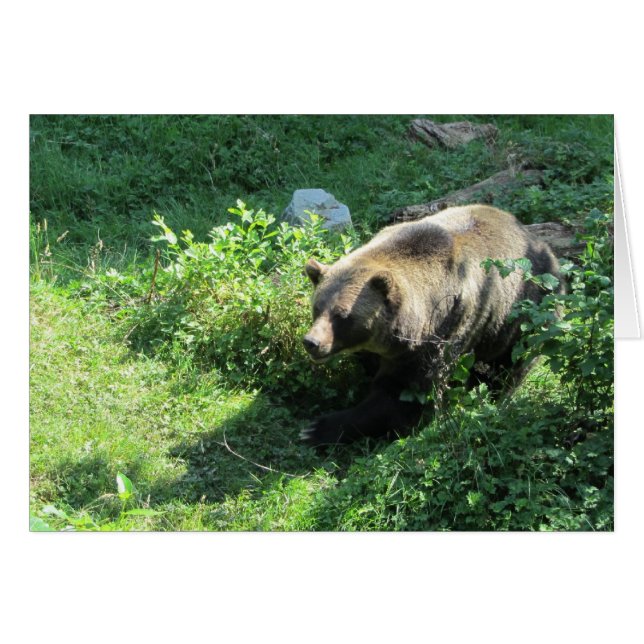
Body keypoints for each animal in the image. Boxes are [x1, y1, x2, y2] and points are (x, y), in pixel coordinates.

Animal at [299, 204, 563, 447]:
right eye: (317, 308)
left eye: (342, 316)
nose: (312, 342)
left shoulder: (441, 331)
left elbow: (405, 395)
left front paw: (316, 428)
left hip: (524, 316)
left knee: (508, 367)